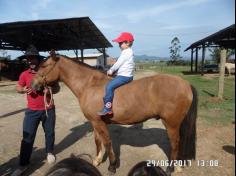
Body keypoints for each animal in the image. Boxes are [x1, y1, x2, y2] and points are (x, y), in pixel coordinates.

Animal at [30, 54, 197, 175]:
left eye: (44, 66)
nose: (33, 85)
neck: (89, 85)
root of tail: (185, 84)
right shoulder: (94, 122)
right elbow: (98, 141)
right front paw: (97, 160)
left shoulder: (99, 122)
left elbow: (107, 142)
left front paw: (112, 166)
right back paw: (179, 166)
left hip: (171, 123)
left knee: (175, 143)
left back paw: (170, 168)